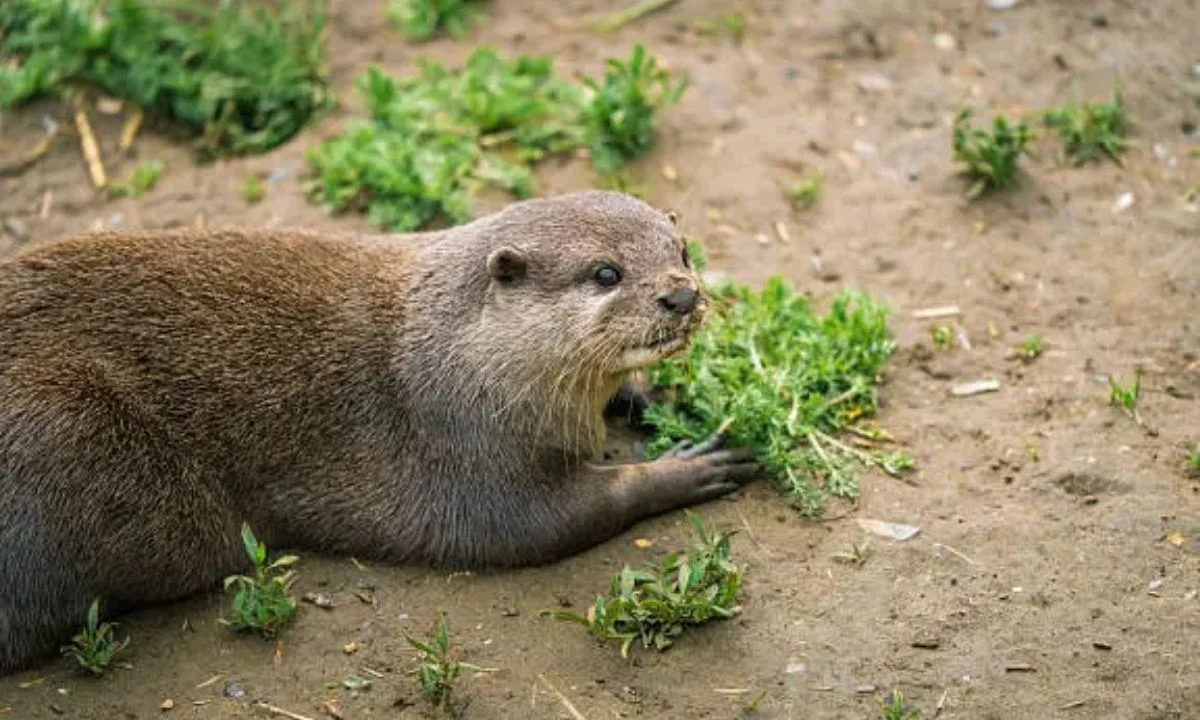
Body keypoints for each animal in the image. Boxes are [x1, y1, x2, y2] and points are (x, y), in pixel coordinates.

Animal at [0, 190, 759, 673]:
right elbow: (548, 521)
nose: (682, 294)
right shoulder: (464, 452)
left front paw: (654, 402)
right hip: (63, 424)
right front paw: (691, 465)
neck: (453, 354)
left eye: (682, 248)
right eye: (606, 272)